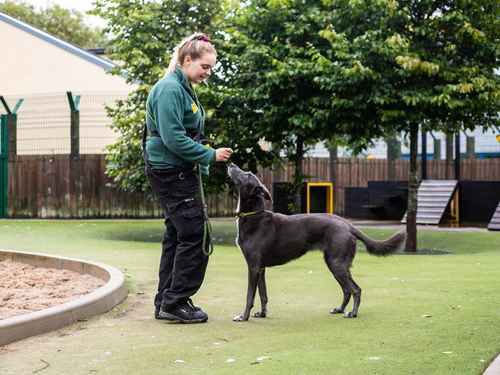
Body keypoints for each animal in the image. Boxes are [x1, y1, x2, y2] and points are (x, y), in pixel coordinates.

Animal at [227, 163, 406, 322]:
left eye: (247, 174)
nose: (230, 163)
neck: (253, 214)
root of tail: (348, 225)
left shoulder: (253, 266)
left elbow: (249, 296)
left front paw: (243, 317)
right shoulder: (261, 268)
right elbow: (263, 294)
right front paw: (262, 314)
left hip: (336, 263)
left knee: (355, 289)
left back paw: (352, 313)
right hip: (338, 264)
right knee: (348, 289)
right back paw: (340, 309)